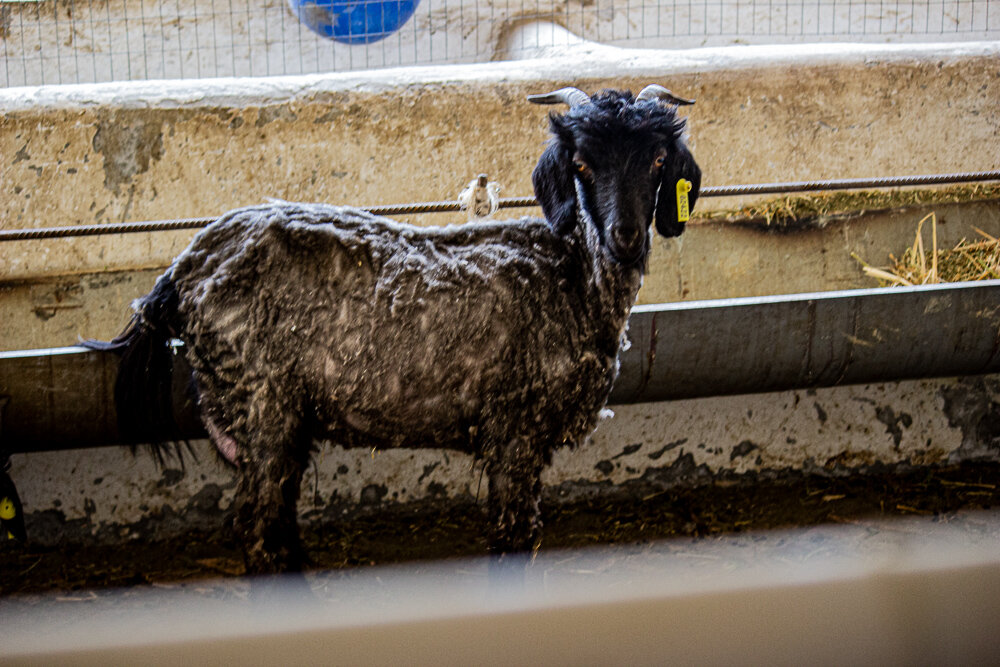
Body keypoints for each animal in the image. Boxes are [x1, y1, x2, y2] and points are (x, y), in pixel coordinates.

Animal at [88, 86, 704, 580]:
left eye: (657, 159)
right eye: (581, 163)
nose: (626, 235)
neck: (573, 273)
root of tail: (179, 274)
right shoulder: (515, 429)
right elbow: (515, 537)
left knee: (278, 521)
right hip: (264, 402)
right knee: (257, 528)